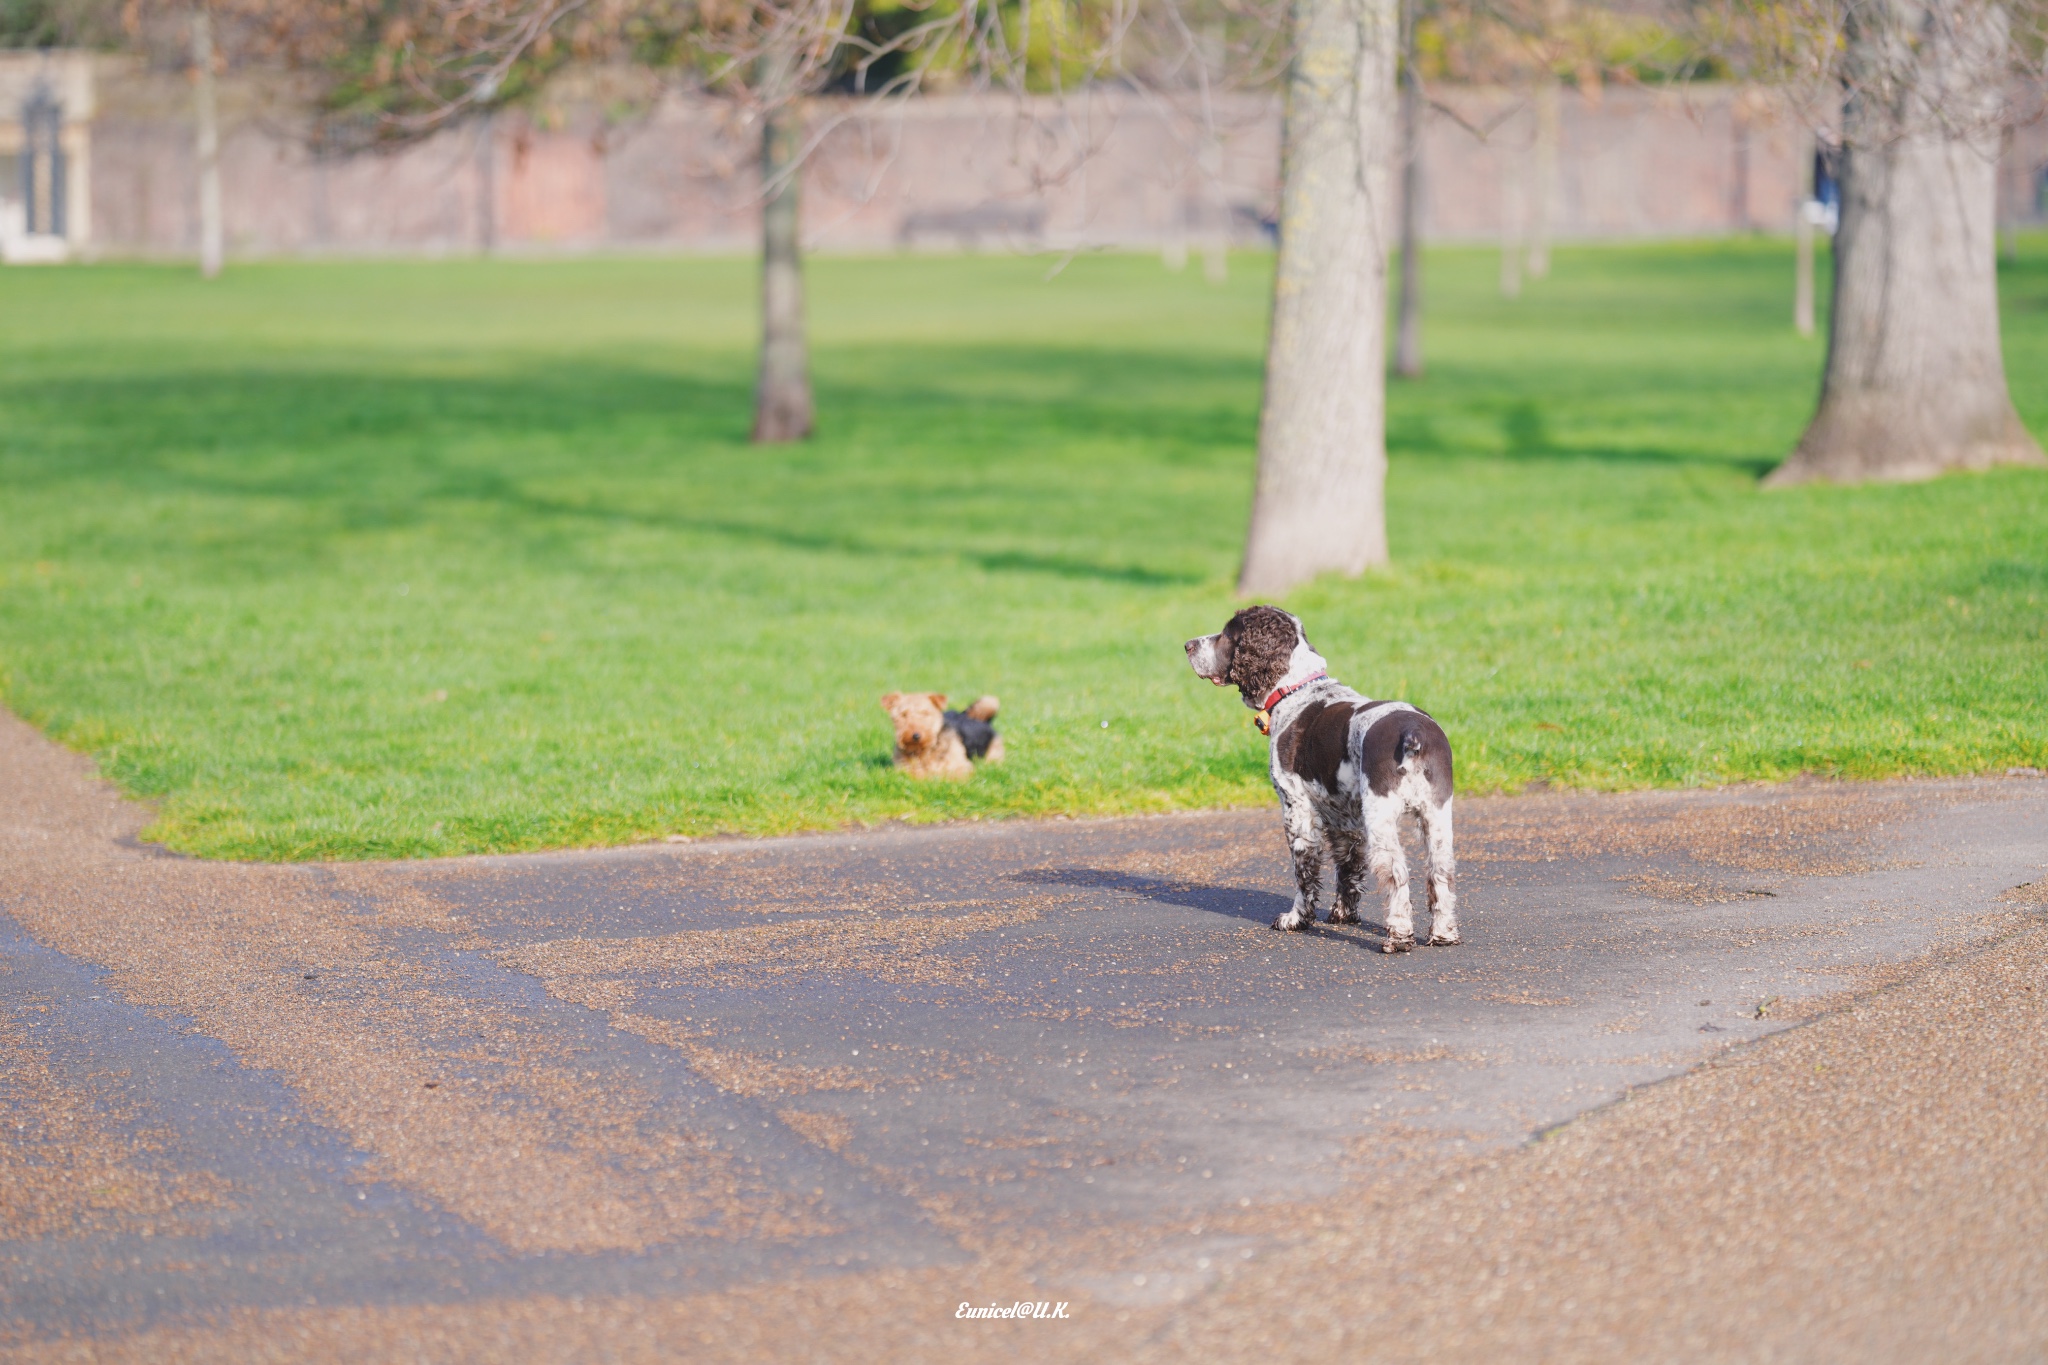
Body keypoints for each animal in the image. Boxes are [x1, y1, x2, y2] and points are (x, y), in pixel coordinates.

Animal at [1187, 605, 1458, 949]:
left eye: (1228, 633)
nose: (1188, 645)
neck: (1296, 690)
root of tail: (1414, 733)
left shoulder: (1296, 807)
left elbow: (1304, 872)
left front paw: (1296, 919)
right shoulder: (1344, 819)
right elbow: (1347, 868)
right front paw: (1343, 915)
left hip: (1382, 814)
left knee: (1395, 870)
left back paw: (1398, 936)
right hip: (1436, 814)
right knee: (1440, 870)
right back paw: (1443, 934)